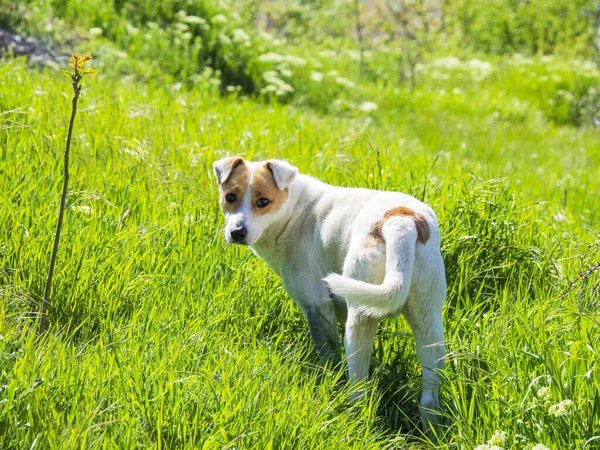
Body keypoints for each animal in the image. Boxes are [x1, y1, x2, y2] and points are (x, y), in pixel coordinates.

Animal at [212, 157, 446, 428]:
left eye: (263, 202)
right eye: (230, 197)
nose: (237, 233)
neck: (293, 210)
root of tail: (401, 220)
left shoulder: (317, 307)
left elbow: (328, 354)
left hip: (360, 319)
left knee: (358, 384)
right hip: (428, 320)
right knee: (429, 393)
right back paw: (430, 428)